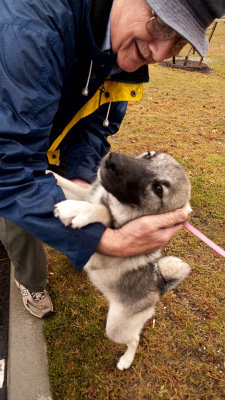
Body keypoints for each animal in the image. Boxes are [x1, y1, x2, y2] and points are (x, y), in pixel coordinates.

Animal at [53, 152, 192, 370]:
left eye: (158, 189)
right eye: (149, 155)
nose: (113, 160)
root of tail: (159, 284)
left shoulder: (99, 255)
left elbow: (103, 213)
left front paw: (79, 210)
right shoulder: (85, 192)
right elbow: (67, 184)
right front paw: (45, 172)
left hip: (116, 328)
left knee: (134, 339)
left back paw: (126, 360)